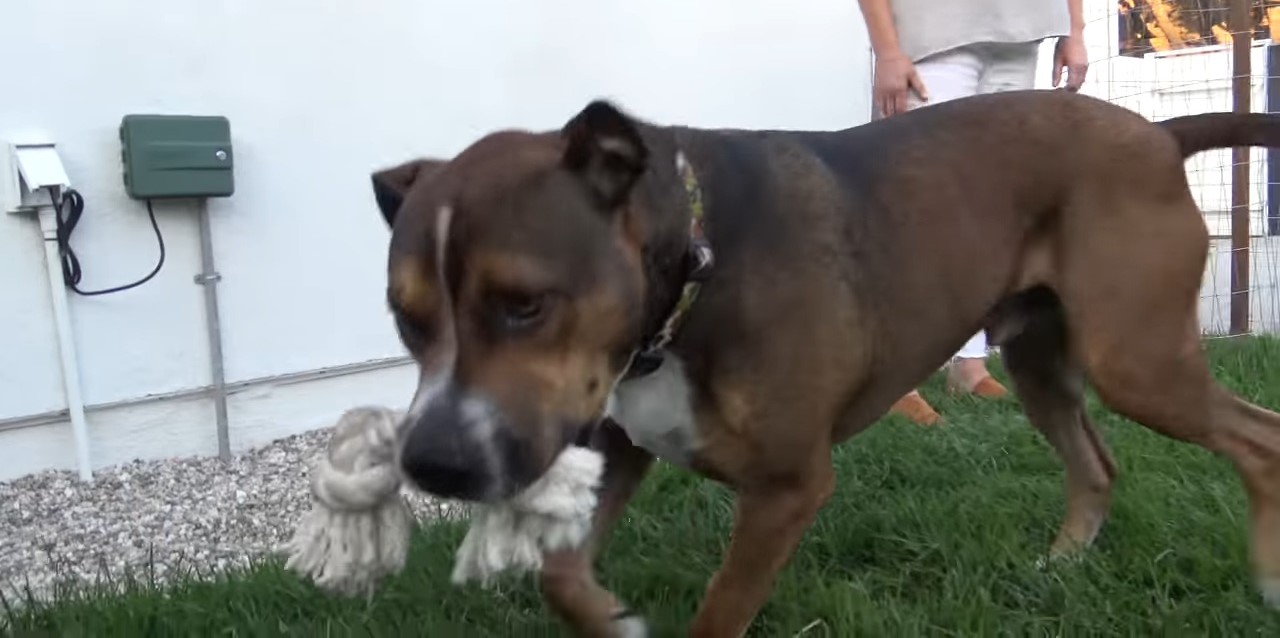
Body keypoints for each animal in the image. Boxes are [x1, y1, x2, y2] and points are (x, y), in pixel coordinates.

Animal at [368, 90, 1280, 638]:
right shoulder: (614, 442)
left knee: (1259, 439)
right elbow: (558, 574)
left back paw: (1268, 578)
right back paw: (1062, 566)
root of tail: (1159, 134)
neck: (694, 265)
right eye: (406, 316)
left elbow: (718, 612)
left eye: (524, 304)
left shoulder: (785, 489)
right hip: (1040, 363)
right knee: (1096, 463)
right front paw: (612, 616)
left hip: (1138, 362)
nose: (433, 461)